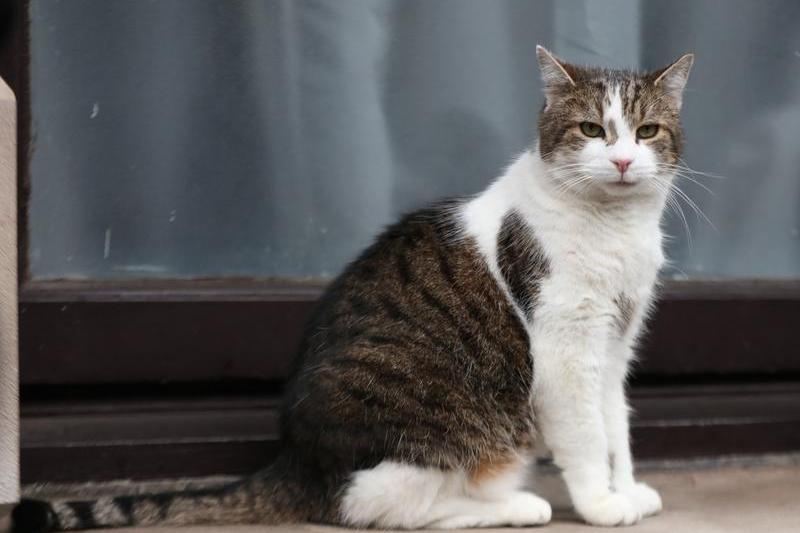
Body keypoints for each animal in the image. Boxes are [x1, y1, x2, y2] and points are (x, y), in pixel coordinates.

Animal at [12, 47, 692, 528]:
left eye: (647, 132)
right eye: (591, 130)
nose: (624, 161)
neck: (615, 230)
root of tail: (294, 461)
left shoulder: (616, 343)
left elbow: (616, 426)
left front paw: (627, 490)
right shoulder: (566, 348)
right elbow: (586, 435)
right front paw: (601, 505)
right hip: (435, 426)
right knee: (375, 506)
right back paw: (516, 507)